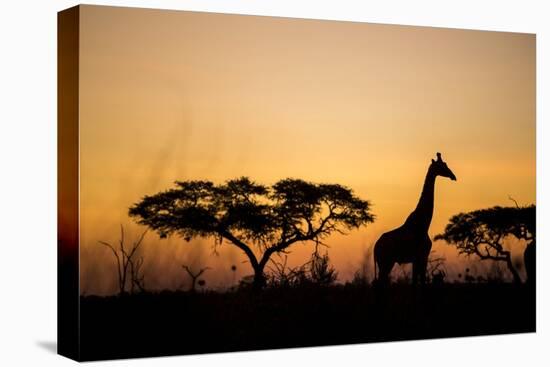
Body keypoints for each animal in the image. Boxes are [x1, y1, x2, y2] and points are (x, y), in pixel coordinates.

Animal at [376, 152, 458, 284]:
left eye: (445, 164)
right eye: (442, 165)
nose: (453, 176)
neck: (424, 224)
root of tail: (375, 247)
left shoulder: (418, 258)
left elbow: (416, 281)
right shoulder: (422, 255)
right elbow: (421, 281)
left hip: (386, 263)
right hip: (386, 262)